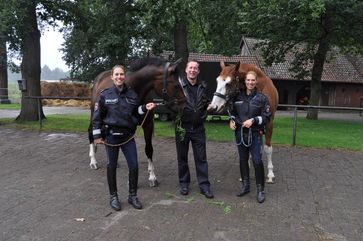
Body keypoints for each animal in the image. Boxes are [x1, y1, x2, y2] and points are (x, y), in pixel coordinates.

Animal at [88, 56, 185, 186]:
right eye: (176, 85)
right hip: (94, 114)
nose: (184, 106)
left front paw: (152, 176)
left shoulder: (148, 125)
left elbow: (148, 149)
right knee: (91, 132)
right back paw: (93, 161)